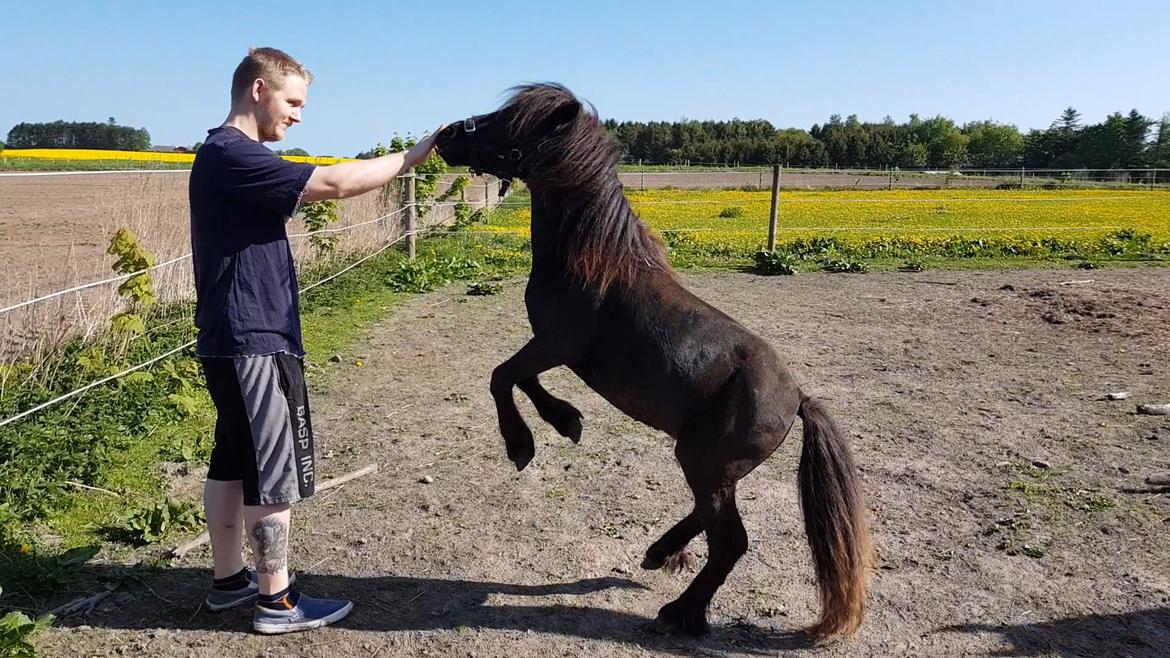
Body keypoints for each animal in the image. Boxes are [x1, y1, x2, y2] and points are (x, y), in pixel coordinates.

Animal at [435, 84, 875, 636]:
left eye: (511, 122)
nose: (448, 133)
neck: (591, 262)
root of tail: (797, 399)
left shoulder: (557, 345)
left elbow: (502, 376)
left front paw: (521, 445)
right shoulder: (552, 349)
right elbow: (525, 380)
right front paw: (566, 421)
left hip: (706, 464)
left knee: (730, 542)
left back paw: (682, 611)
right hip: (713, 468)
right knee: (707, 520)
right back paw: (659, 554)